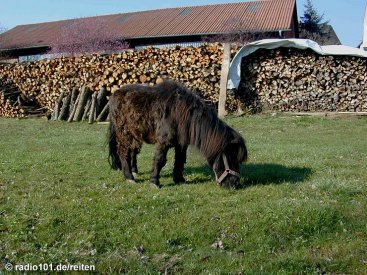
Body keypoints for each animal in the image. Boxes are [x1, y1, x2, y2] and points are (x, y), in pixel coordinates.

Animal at [108, 78, 249, 189]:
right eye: (230, 158)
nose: (235, 184)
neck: (182, 113)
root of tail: (115, 94)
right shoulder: (163, 141)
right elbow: (159, 160)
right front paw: (154, 182)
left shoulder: (181, 143)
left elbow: (180, 160)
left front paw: (179, 179)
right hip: (124, 134)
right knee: (124, 153)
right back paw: (129, 177)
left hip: (135, 135)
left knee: (133, 152)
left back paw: (134, 171)